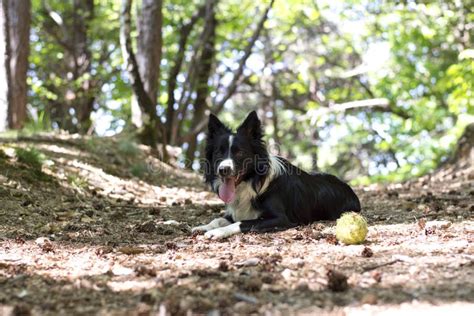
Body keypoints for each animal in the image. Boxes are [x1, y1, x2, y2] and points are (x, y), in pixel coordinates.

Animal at [192, 111, 360, 239]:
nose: (223, 169)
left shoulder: (281, 219)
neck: (253, 181)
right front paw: (204, 226)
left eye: (239, 152)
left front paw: (217, 232)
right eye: (218, 152)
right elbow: (218, 219)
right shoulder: (234, 212)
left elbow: (242, 222)